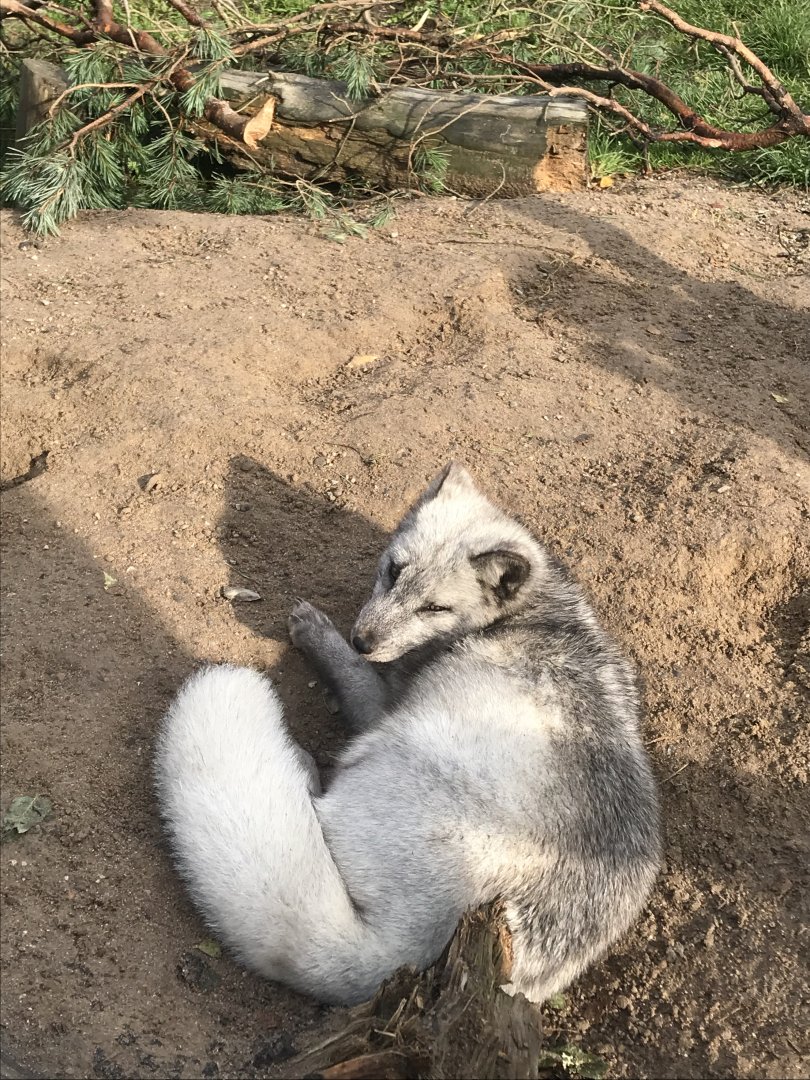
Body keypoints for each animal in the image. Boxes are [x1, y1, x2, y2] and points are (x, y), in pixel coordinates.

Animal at [154, 462, 661, 1006]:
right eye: (394, 571)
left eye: (435, 608)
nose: (362, 640)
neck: (531, 612)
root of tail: (413, 950)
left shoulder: (381, 706)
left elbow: (352, 675)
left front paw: (316, 632)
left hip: (384, 746)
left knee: (317, 798)